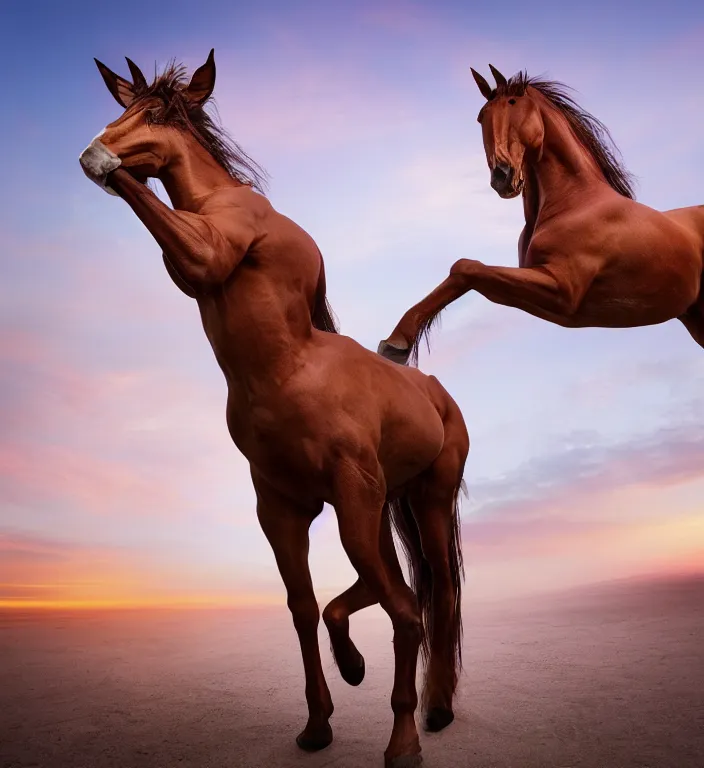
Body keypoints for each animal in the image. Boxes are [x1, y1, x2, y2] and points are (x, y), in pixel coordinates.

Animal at [80, 51, 470, 764]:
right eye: (126, 107)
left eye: (156, 113)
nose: (93, 151)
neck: (282, 372)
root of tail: (435, 392)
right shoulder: (280, 509)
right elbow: (303, 607)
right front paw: (320, 721)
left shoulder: (211, 249)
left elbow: (401, 613)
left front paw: (399, 742)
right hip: (375, 504)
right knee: (397, 588)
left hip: (421, 497)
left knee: (434, 595)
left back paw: (434, 711)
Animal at [380, 66, 704, 366]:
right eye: (481, 117)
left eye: (513, 103)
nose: (502, 177)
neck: (575, 201)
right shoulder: (535, 293)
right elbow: (469, 274)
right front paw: (397, 344)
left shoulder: (563, 290)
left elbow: (465, 267)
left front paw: (397, 343)